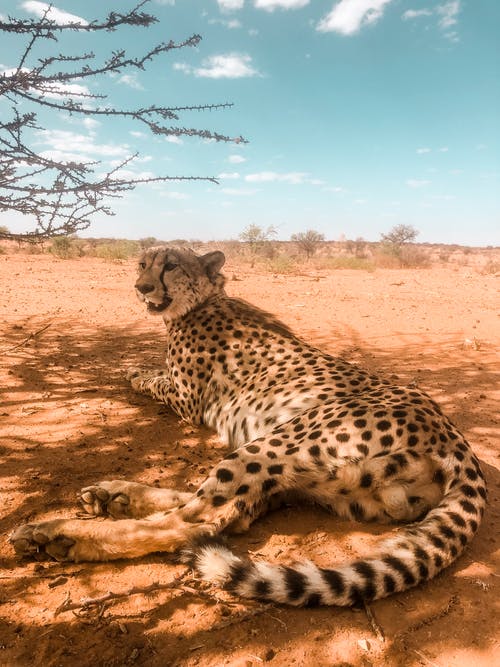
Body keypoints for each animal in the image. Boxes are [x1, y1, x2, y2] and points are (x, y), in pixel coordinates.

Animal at [9, 248, 486, 608]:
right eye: (141, 263)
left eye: (170, 265)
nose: (142, 287)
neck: (206, 299)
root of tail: (456, 441)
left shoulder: (188, 402)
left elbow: (152, 379)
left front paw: (133, 372)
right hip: (322, 480)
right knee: (232, 513)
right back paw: (114, 495)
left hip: (279, 443)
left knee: (195, 522)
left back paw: (57, 534)